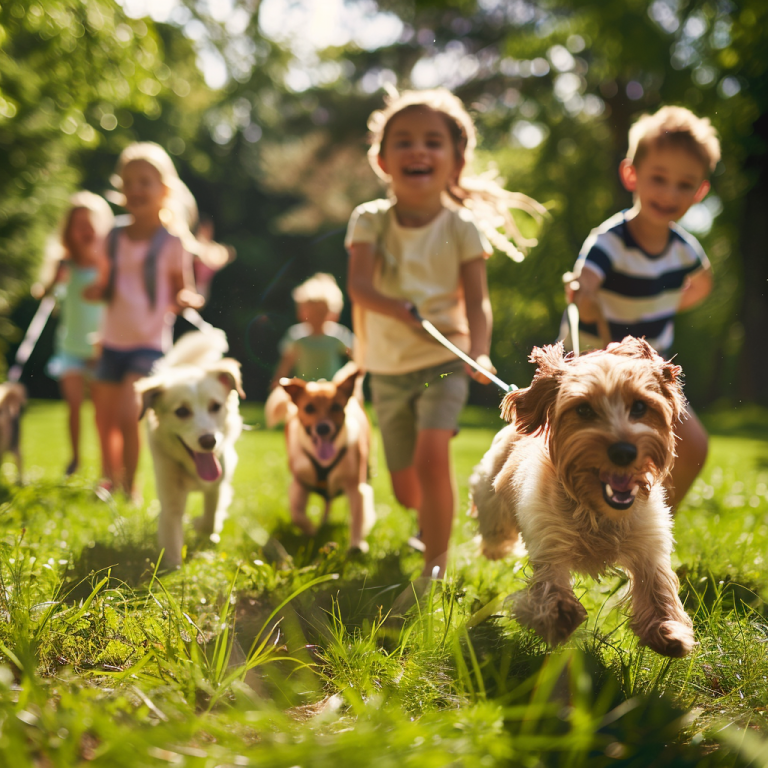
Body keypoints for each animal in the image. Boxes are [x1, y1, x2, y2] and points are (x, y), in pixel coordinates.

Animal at [134, 330, 243, 568]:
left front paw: (202, 526)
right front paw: (172, 570)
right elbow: (172, 536)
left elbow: (211, 519)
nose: (209, 441)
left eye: (215, 406)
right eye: (182, 411)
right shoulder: (170, 498)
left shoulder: (217, 485)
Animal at [266, 362, 376, 548]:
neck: (323, 460)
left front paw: (356, 545)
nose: (323, 428)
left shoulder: (356, 486)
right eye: (309, 408)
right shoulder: (299, 484)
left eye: (336, 407)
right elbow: (297, 514)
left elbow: (358, 516)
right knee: (326, 502)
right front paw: (312, 531)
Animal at [468, 340, 696, 656]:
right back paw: (495, 549)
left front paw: (668, 630)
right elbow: (550, 585)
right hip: (492, 501)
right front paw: (558, 616)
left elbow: (657, 585)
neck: (597, 510)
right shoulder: (549, 542)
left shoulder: (649, 543)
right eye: (584, 410)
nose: (624, 451)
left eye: (640, 406)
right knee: (494, 530)